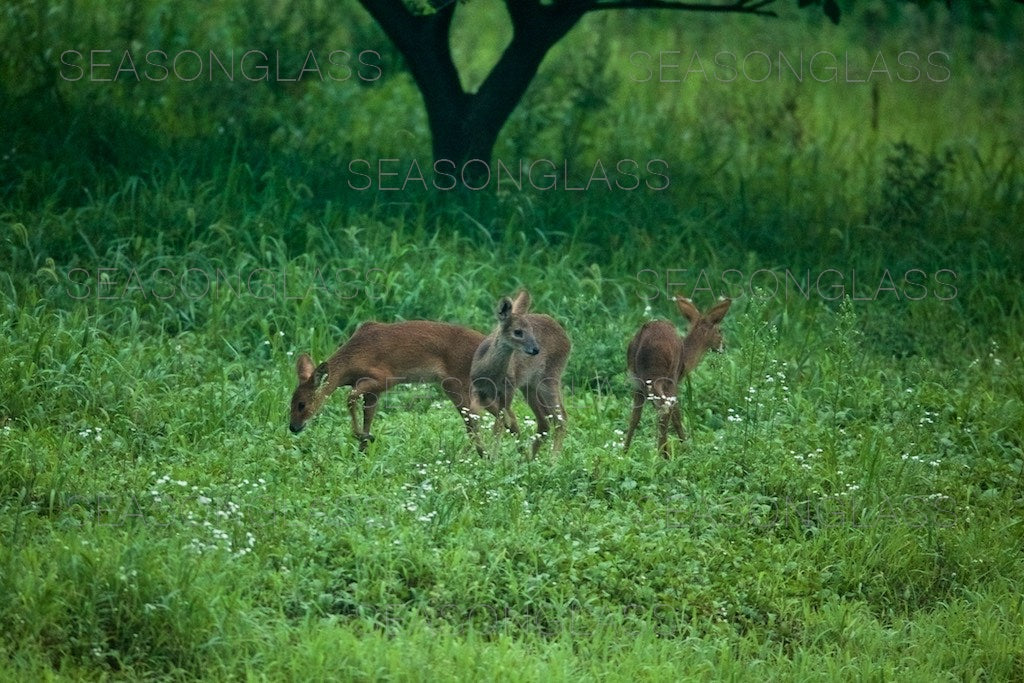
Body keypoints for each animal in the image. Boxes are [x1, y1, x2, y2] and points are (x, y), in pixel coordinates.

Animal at [288, 321, 512, 454]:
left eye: (302, 404)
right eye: (289, 404)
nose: (293, 427)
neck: (352, 360)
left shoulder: (382, 378)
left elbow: (350, 398)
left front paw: (362, 437)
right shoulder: (374, 391)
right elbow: (368, 416)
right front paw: (363, 446)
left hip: (459, 384)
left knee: (479, 420)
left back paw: (485, 455)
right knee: (506, 416)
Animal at [468, 290, 573, 458]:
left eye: (531, 330)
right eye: (518, 332)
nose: (536, 349)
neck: (491, 375)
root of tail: (566, 336)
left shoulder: (508, 390)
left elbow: (500, 424)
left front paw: (493, 457)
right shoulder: (479, 390)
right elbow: (474, 418)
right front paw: (483, 452)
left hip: (550, 377)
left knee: (561, 418)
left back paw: (553, 459)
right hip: (529, 386)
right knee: (544, 421)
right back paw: (530, 459)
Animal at [618, 296, 733, 456]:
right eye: (720, 330)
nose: (723, 347)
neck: (686, 359)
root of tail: (641, 339)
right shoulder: (674, 381)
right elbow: (677, 416)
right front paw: (687, 448)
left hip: (636, 378)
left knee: (636, 415)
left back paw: (625, 453)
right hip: (662, 375)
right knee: (664, 410)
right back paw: (664, 455)